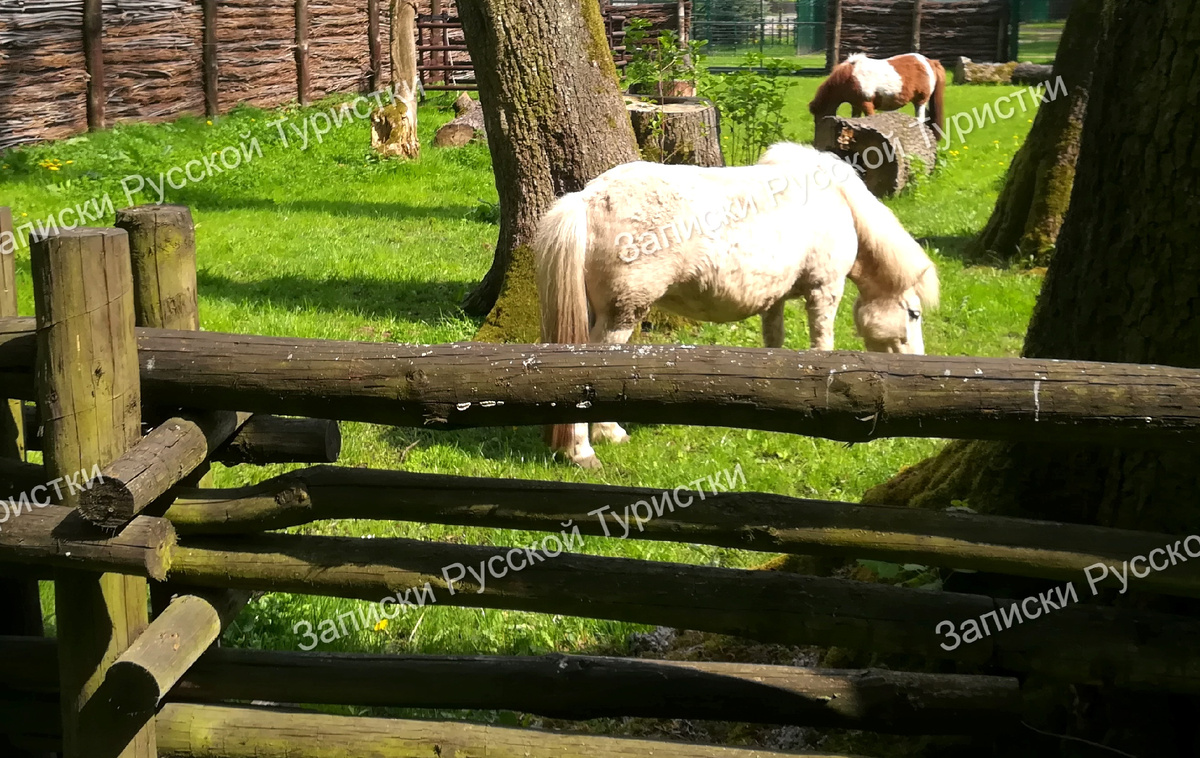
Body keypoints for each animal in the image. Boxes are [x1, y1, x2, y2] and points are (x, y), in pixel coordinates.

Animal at [806, 53, 945, 137]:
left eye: (818, 118)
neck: (849, 78)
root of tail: (930, 62)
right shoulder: (856, 106)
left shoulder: (866, 104)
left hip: (920, 101)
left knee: (920, 119)